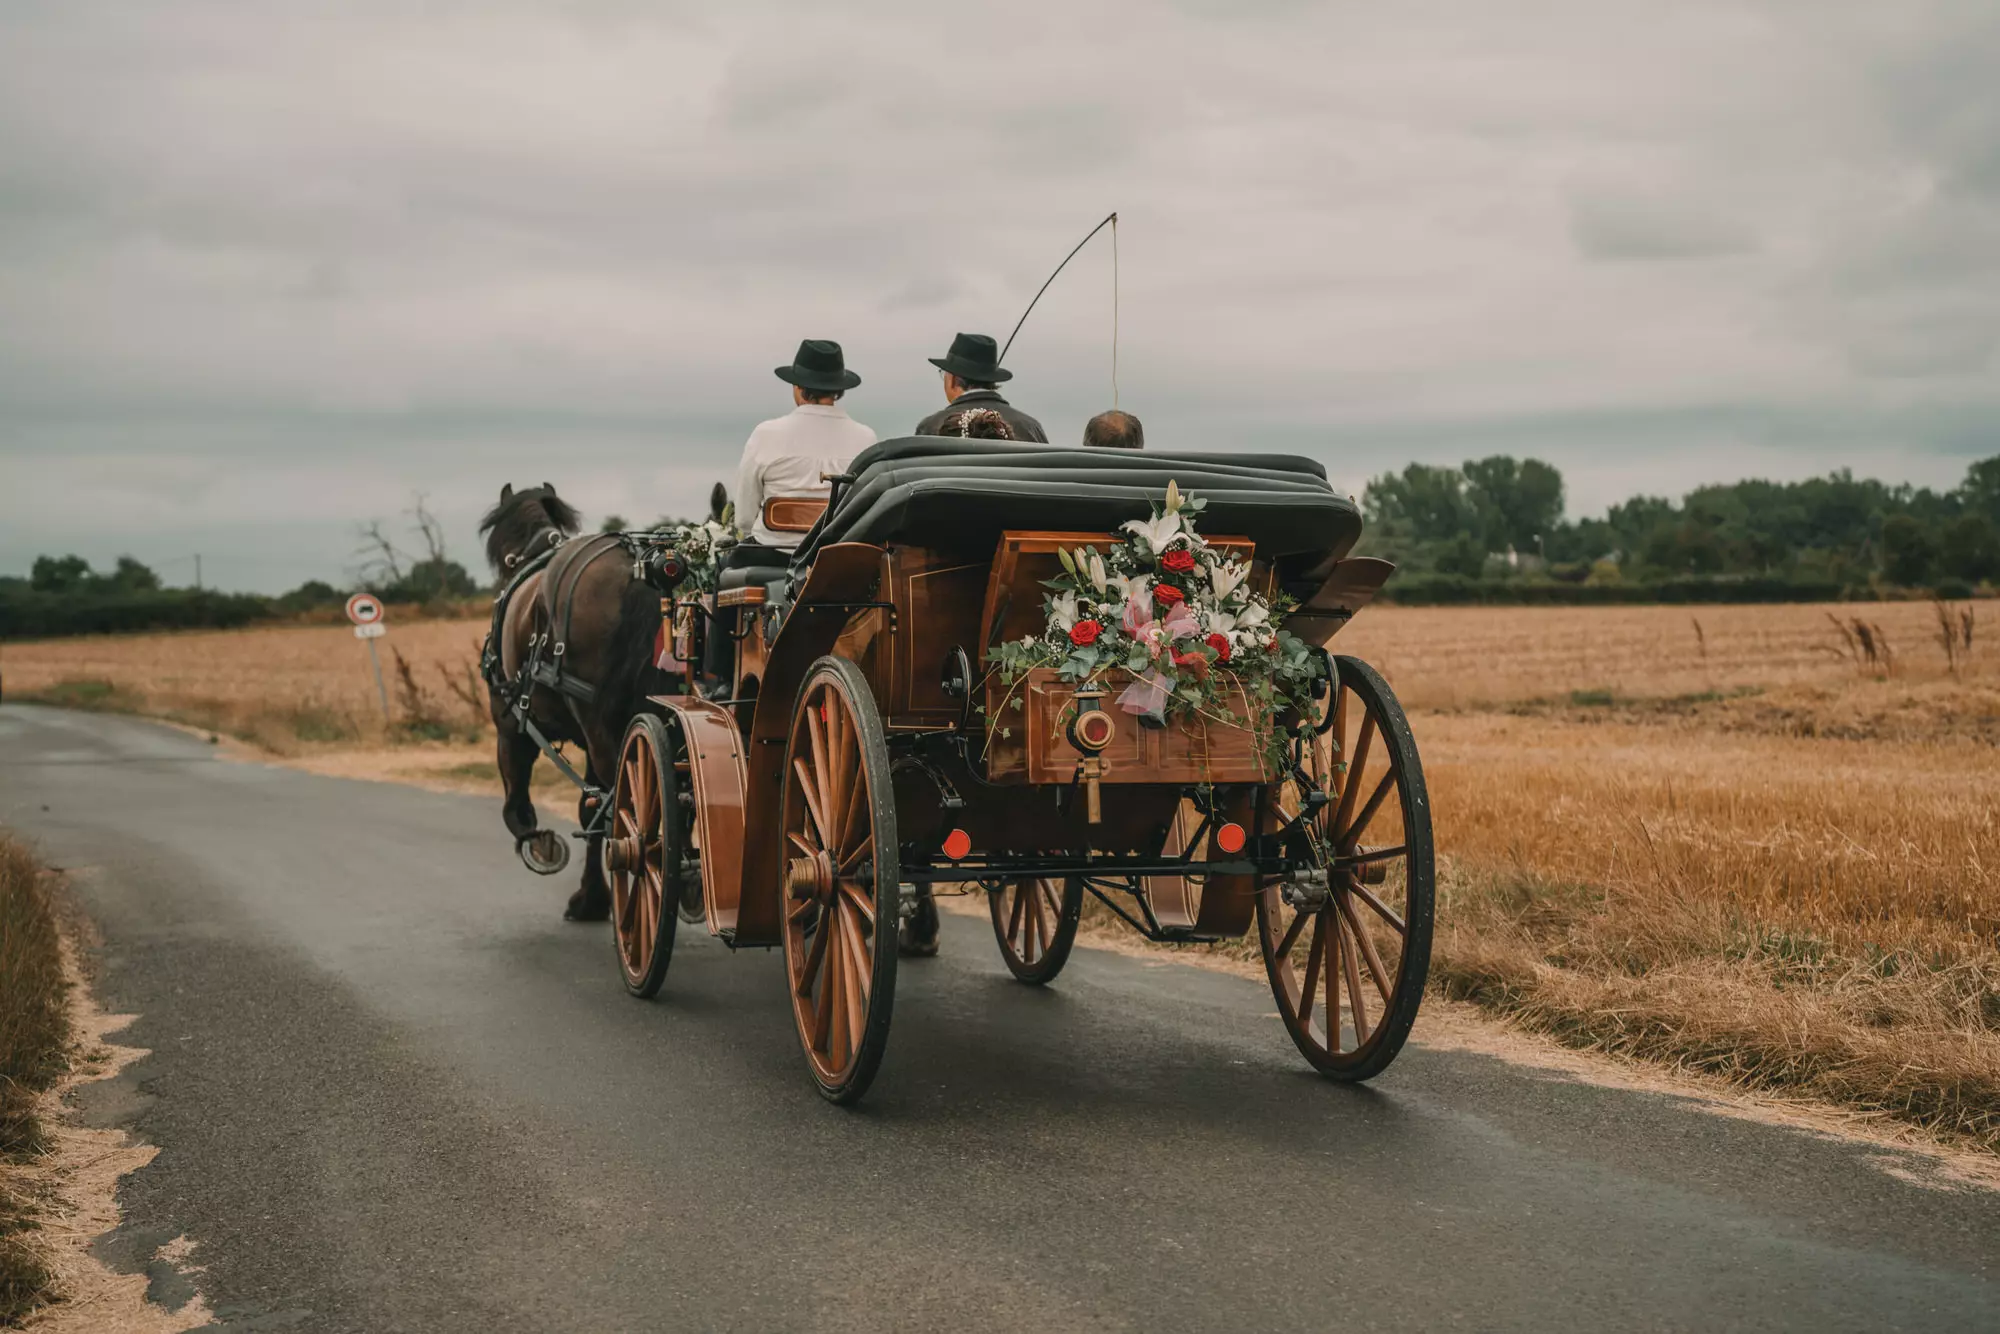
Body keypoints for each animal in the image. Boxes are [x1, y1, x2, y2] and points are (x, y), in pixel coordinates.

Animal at [482, 486, 664, 924]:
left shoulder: (510, 727)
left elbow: (516, 807)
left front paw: (541, 844)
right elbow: (588, 809)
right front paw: (592, 897)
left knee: (622, 805)